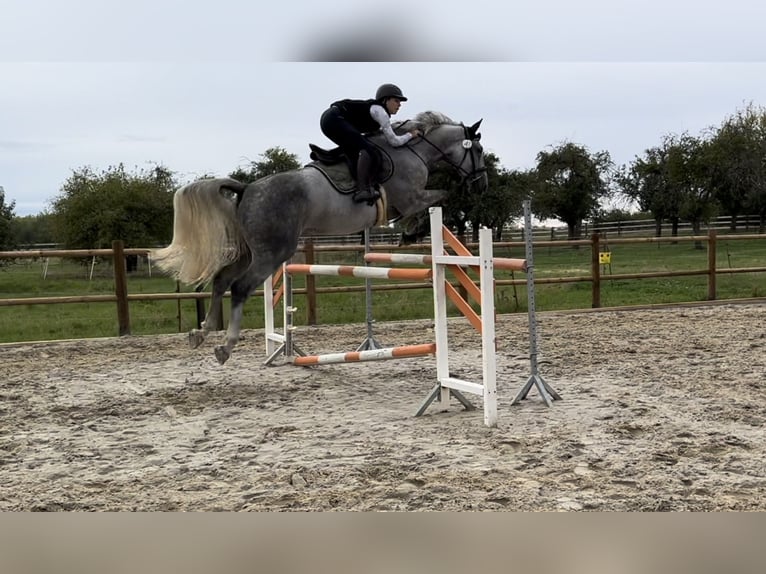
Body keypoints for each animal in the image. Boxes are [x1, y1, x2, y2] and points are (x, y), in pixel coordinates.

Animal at [151, 110, 488, 364]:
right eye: (479, 150)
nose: (481, 184)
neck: (412, 150)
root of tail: (247, 188)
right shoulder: (412, 198)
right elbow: (441, 197)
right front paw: (411, 232)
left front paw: (409, 233)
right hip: (272, 252)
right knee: (240, 287)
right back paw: (226, 346)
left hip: (250, 251)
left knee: (221, 280)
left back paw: (201, 333)